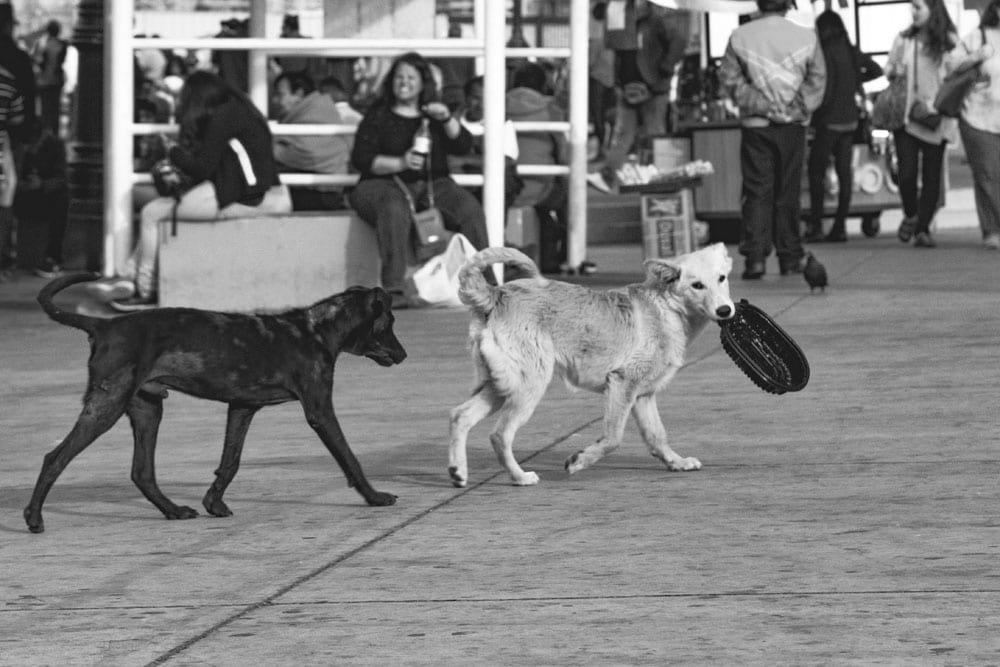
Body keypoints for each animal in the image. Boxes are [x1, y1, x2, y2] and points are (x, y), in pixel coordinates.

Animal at [24, 274, 406, 536]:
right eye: (389, 322)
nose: (403, 355)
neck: (316, 330)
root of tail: (103, 325)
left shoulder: (241, 407)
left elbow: (229, 463)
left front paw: (214, 503)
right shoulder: (319, 409)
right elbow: (349, 457)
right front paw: (374, 497)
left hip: (147, 408)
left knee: (141, 471)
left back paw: (174, 511)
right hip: (108, 404)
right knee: (55, 458)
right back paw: (34, 517)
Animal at [446, 243, 736, 488]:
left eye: (722, 278)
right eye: (697, 285)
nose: (725, 311)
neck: (666, 308)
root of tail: (495, 294)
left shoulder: (643, 395)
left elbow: (657, 435)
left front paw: (676, 462)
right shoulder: (621, 384)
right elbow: (613, 437)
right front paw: (580, 460)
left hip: (500, 385)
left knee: (461, 416)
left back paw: (458, 471)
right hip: (528, 386)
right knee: (500, 434)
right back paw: (519, 477)